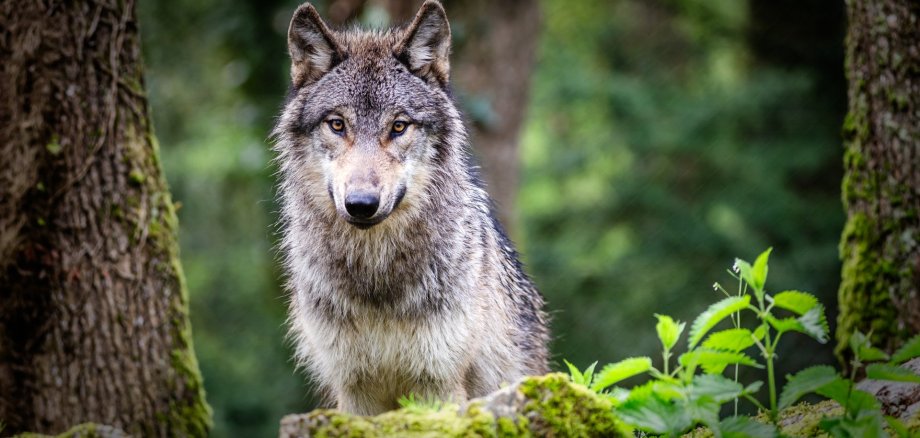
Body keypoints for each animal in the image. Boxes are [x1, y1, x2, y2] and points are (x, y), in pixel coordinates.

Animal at [272, 0, 549, 416]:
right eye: (337, 124)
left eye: (399, 126)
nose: (361, 204)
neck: (376, 279)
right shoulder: (354, 390)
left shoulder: (437, 383)